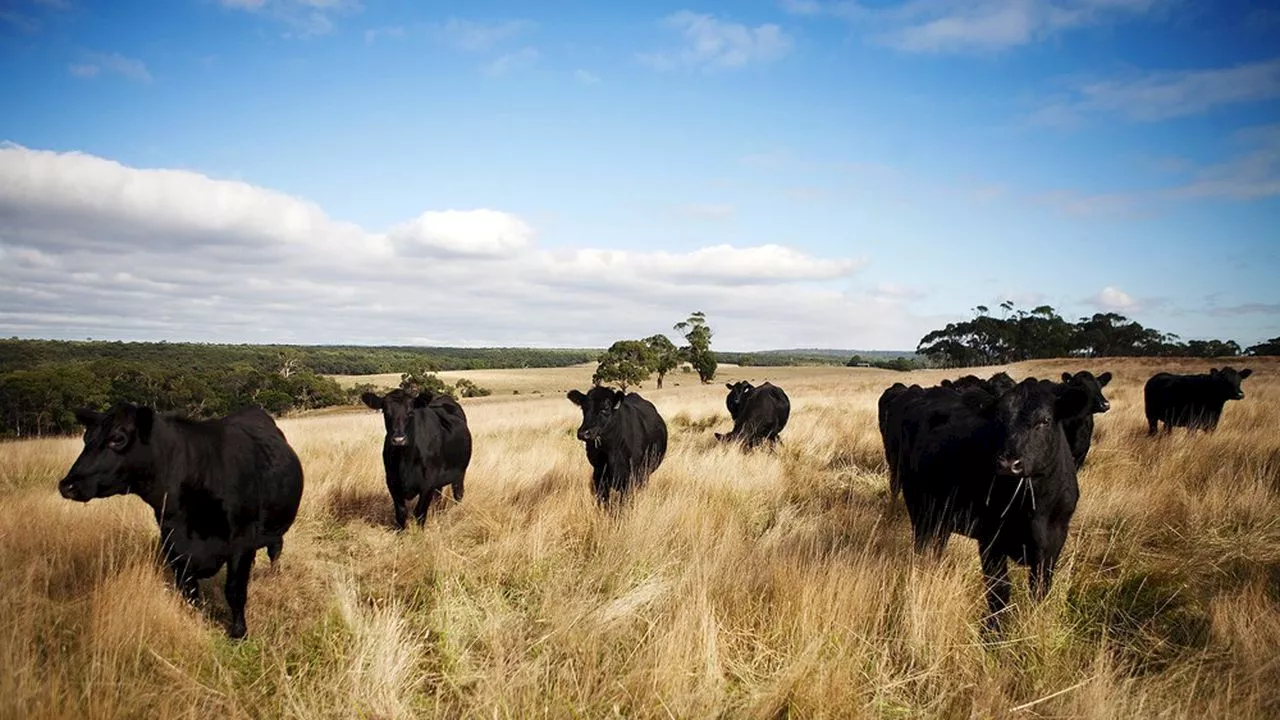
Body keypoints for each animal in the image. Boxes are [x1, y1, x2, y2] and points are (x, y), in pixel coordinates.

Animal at [57, 399, 304, 635]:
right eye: (86, 437)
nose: (67, 485)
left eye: (118, 438)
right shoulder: (174, 546)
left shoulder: (241, 543)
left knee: (275, 552)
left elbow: (234, 590)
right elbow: (190, 594)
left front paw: (239, 632)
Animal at [363, 386, 473, 527]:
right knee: (438, 498)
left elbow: (420, 512)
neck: (405, 460)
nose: (399, 439)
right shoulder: (392, 481)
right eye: (385, 412)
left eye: (410, 412)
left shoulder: (428, 482)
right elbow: (401, 512)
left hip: (460, 473)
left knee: (458, 494)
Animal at [896, 379, 1085, 625]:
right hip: (920, 508)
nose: (1009, 463)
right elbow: (999, 591)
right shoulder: (990, 538)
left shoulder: (1054, 540)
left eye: (1044, 420)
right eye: (998, 420)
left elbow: (1040, 589)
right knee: (923, 545)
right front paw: (995, 629)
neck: (1033, 510)